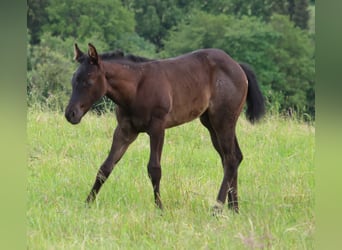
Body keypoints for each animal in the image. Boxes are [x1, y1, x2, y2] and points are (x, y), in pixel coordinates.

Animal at [65, 43, 266, 213]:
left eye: (88, 81)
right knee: (233, 157)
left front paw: (160, 208)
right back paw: (234, 208)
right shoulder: (125, 130)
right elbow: (105, 167)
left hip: (223, 120)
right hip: (211, 123)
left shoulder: (157, 128)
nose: (70, 114)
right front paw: (87, 203)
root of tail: (237, 66)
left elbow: (154, 169)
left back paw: (217, 208)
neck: (136, 88)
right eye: (73, 80)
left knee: (230, 159)